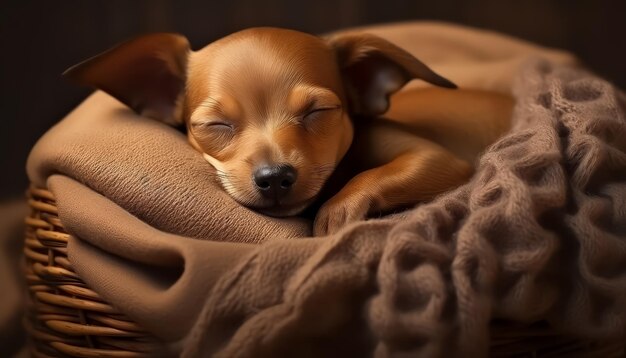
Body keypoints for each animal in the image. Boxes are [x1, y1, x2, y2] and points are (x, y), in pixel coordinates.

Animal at [63, 27, 512, 235]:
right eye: (215, 125)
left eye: (318, 112)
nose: (275, 176)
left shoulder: (436, 160)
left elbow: (371, 176)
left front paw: (336, 213)